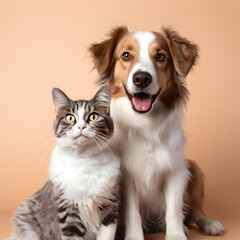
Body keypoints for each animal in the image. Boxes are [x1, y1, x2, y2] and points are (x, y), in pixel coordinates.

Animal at [10, 86, 121, 240]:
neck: (84, 160)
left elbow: (106, 234)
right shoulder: (69, 211)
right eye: (70, 117)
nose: (81, 127)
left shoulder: (110, 205)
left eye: (93, 116)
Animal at [89, 26, 224, 240]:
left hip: (194, 169)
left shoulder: (176, 170)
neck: (145, 125)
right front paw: (134, 237)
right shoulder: (125, 175)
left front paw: (176, 235)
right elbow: (133, 212)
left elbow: (174, 210)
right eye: (126, 55)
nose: (142, 78)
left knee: (195, 212)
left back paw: (209, 224)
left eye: (160, 56)